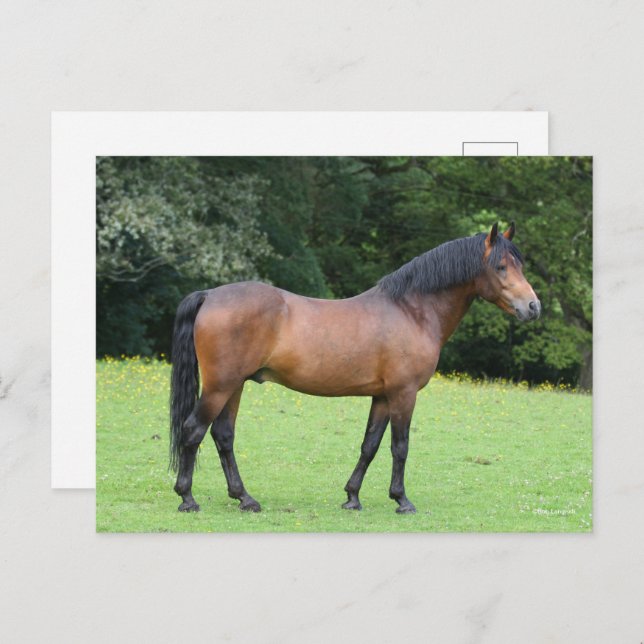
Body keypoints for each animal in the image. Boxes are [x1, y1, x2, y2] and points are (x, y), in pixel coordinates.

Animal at [169, 222, 541, 514]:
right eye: (501, 267)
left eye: (519, 265)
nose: (533, 307)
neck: (411, 311)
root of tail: (210, 295)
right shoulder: (404, 394)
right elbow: (400, 447)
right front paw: (402, 500)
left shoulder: (383, 396)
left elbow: (370, 445)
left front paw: (352, 497)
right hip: (221, 386)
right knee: (193, 430)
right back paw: (187, 498)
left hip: (235, 385)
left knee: (223, 435)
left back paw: (244, 498)